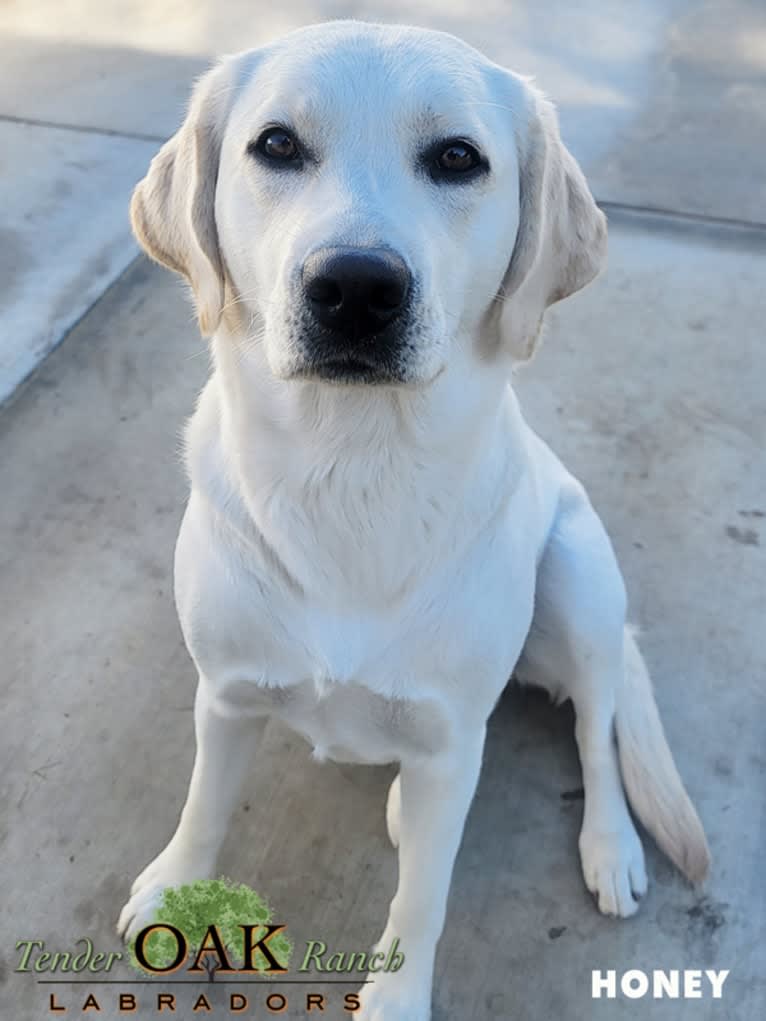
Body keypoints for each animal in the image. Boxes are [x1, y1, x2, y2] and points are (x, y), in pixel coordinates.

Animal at [116, 19, 710, 1016]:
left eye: (458, 158)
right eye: (276, 145)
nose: (355, 287)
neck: (350, 469)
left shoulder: (448, 747)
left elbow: (422, 900)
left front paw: (396, 995)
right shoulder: (226, 693)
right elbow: (202, 806)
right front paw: (173, 890)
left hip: (580, 582)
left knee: (596, 728)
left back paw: (611, 845)